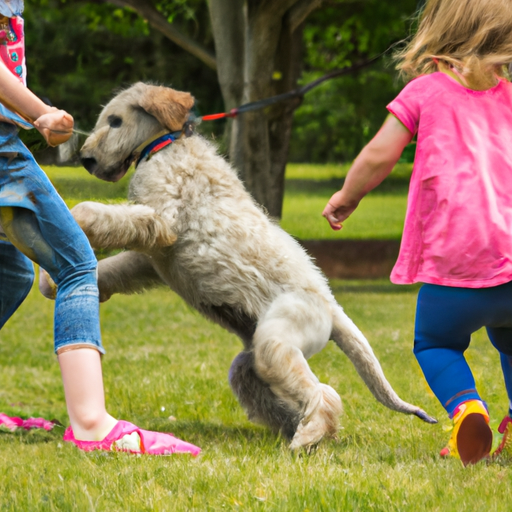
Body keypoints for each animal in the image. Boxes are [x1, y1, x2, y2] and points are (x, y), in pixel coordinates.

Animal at [56, 83, 434, 448]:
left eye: (115, 121)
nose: (86, 159)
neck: (164, 146)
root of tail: (331, 306)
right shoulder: (154, 256)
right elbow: (115, 264)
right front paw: (57, 281)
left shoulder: (164, 220)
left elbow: (91, 211)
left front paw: (71, 219)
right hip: (249, 366)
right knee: (286, 399)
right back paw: (300, 432)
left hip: (276, 340)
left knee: (323, 395)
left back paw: (309, 436)